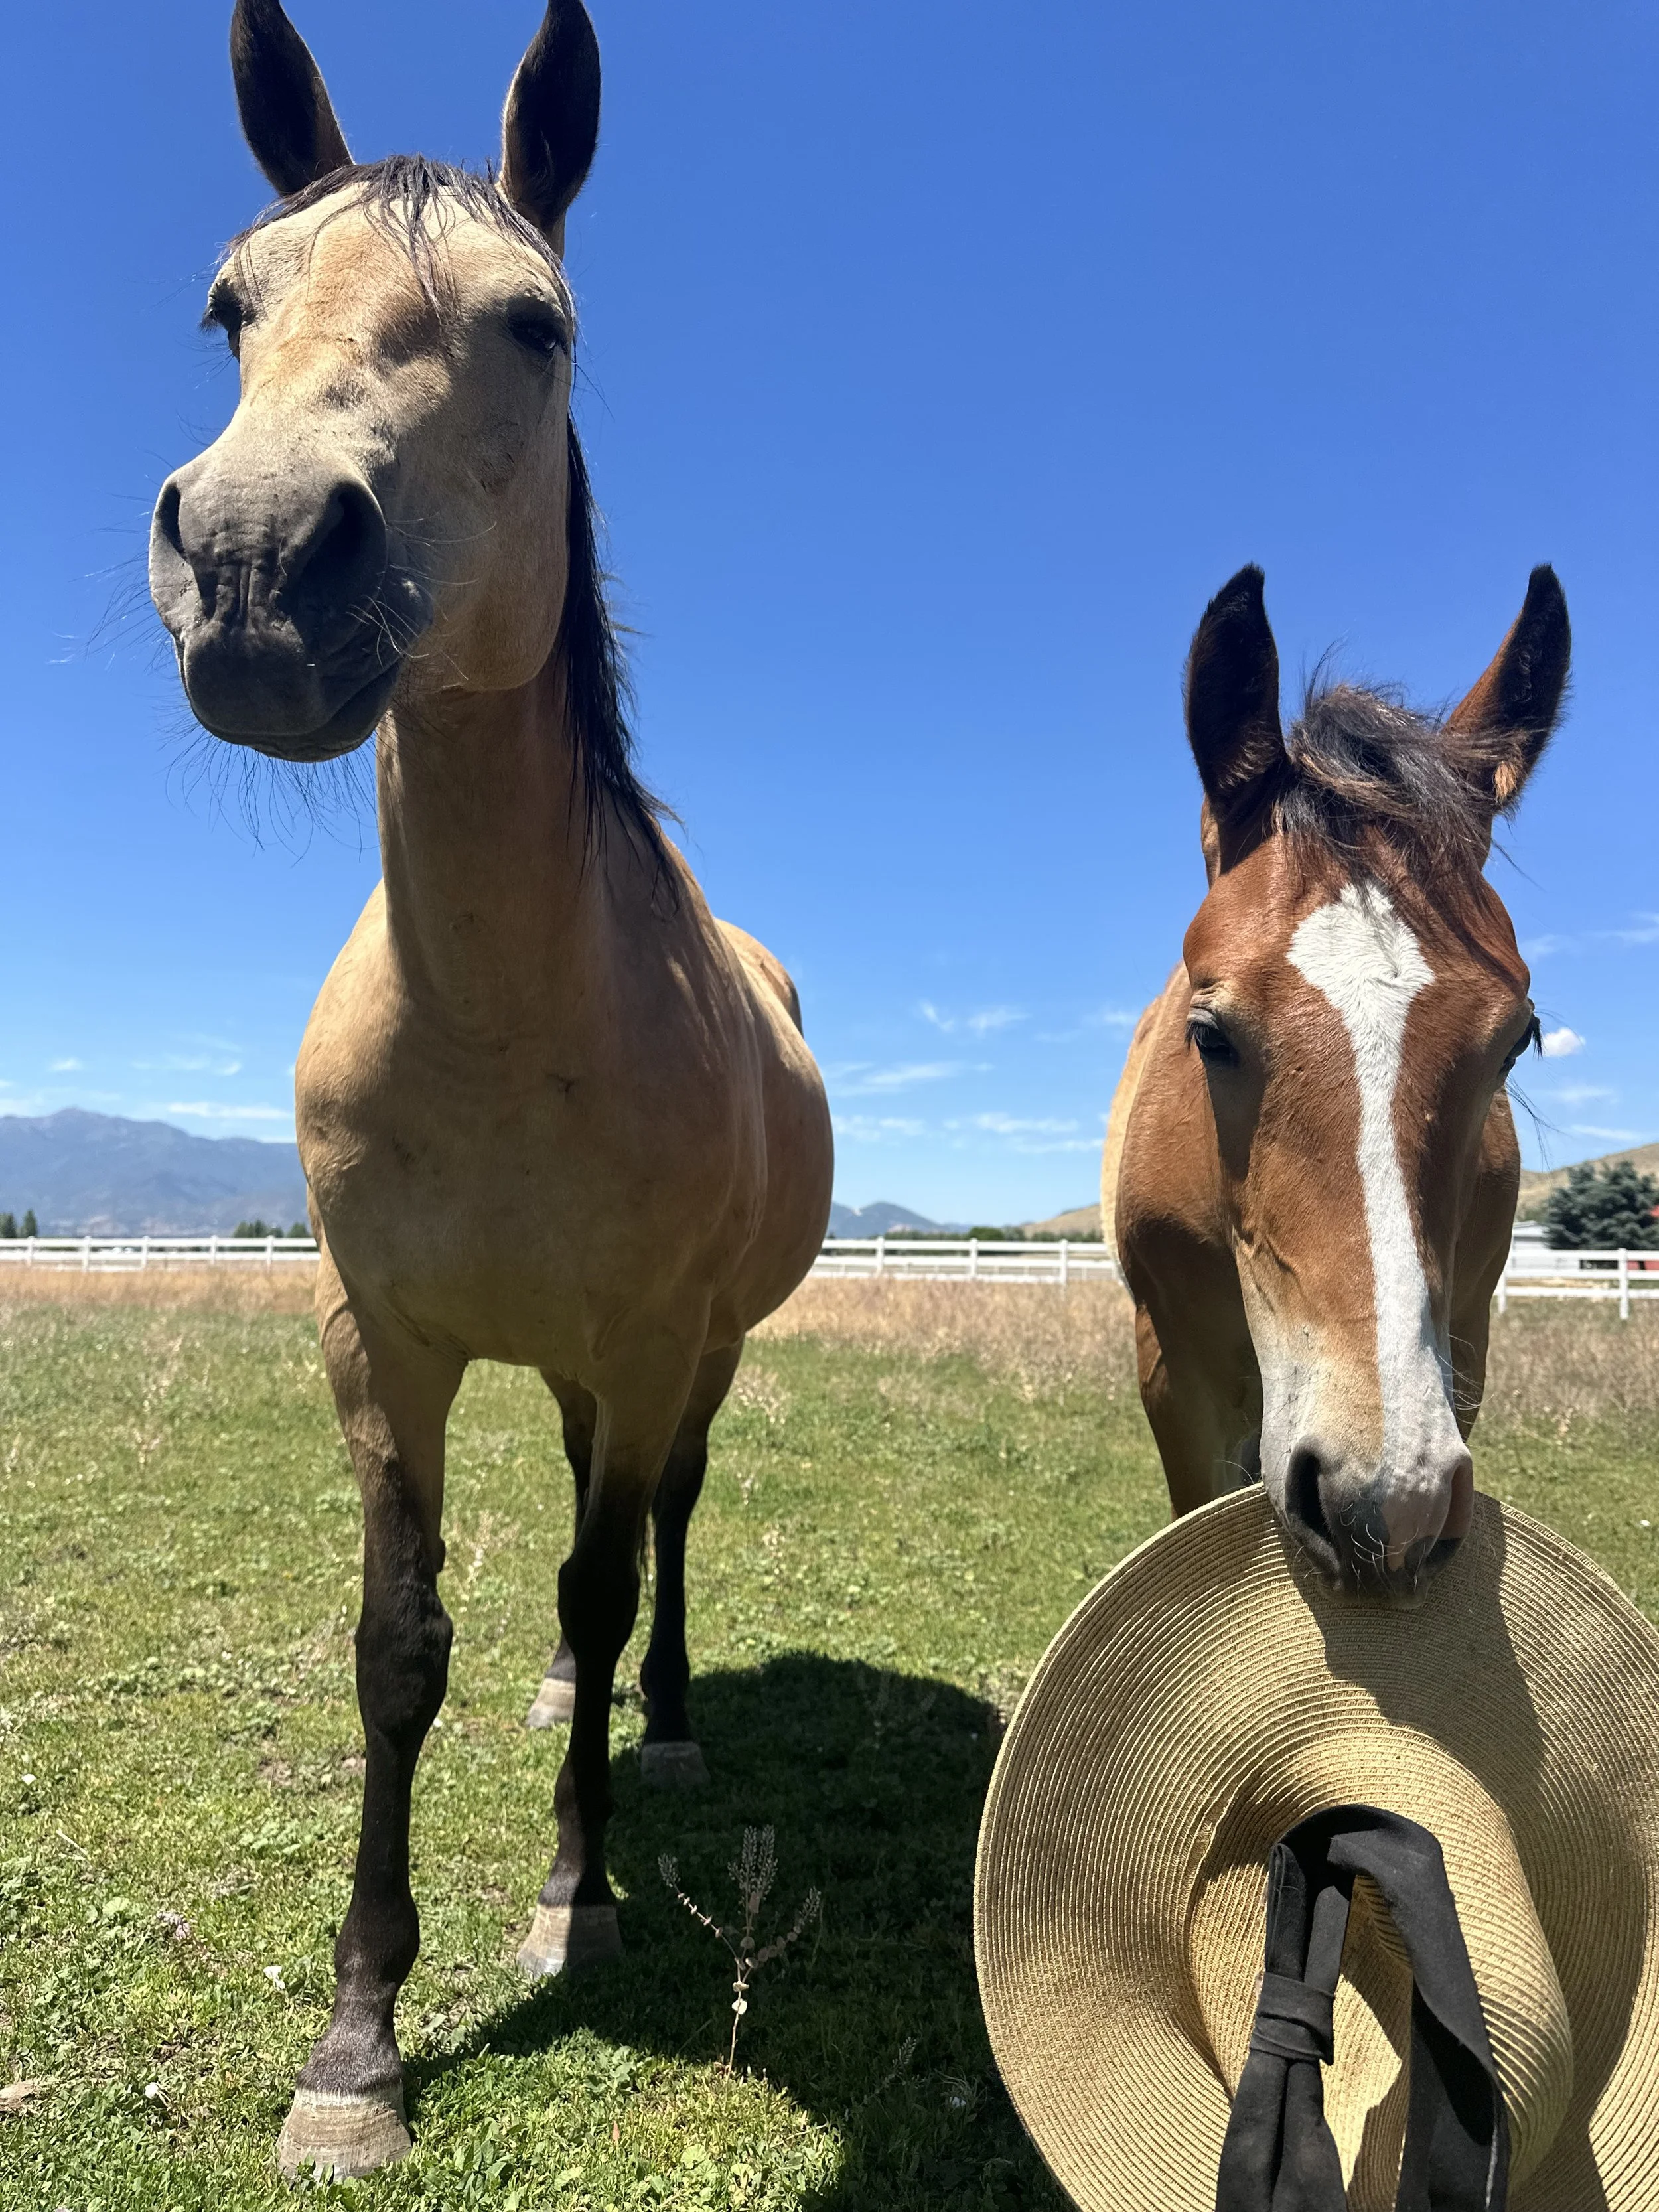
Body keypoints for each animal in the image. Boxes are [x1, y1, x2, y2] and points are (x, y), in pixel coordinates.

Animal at [148, 0, 833, 2179]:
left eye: (536, 324)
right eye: (231, 306)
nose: (258, 560)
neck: (505, 1016)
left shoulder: (642, 1334)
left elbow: (607, 1582)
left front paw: (573, 1896)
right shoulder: (380, 1338)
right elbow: (398, 1650)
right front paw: (358, 2042)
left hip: (686, 1353)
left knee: (655, 1538)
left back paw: (657, 1733)